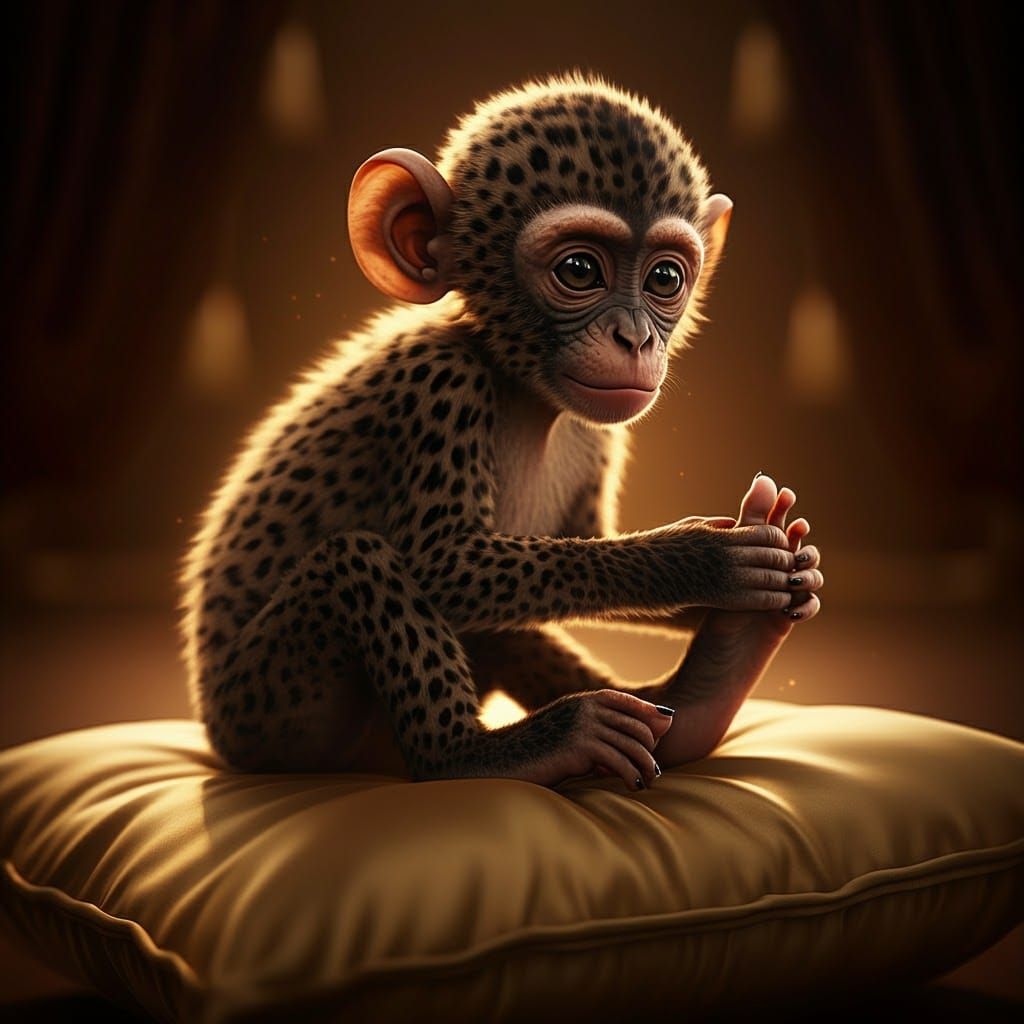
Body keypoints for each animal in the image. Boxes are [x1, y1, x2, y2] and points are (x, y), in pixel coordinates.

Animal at [179, 74, 824, 792]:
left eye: (664, 278)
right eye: (579, 271)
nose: (634, 340)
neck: (528, 400)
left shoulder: (597, 435)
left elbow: (581, 542)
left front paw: (766, 573)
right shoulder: (439, 382)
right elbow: (440, 560)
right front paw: (701, 561)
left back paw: (703, 691)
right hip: (262, 710)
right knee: (358, 559)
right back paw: (493, 749)